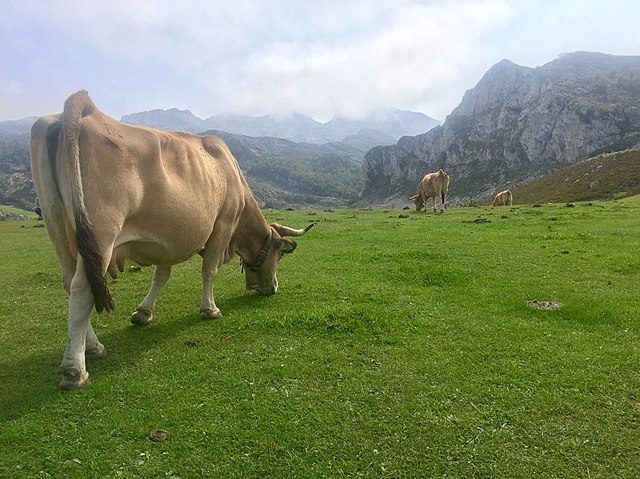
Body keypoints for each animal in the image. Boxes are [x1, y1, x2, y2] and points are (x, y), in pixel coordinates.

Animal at [30, 90, 316, 390]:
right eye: (280, 254)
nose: (272, 288)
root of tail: (85, 109)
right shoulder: (222, 225)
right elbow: (209, 271)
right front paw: (210, 309)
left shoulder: (167, 240)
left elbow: (161, 276)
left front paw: (143, 313)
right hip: (101, 232)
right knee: (83, 288)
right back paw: (75, 370)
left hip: (57, 226)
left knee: (70, 282)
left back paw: (94, 346)